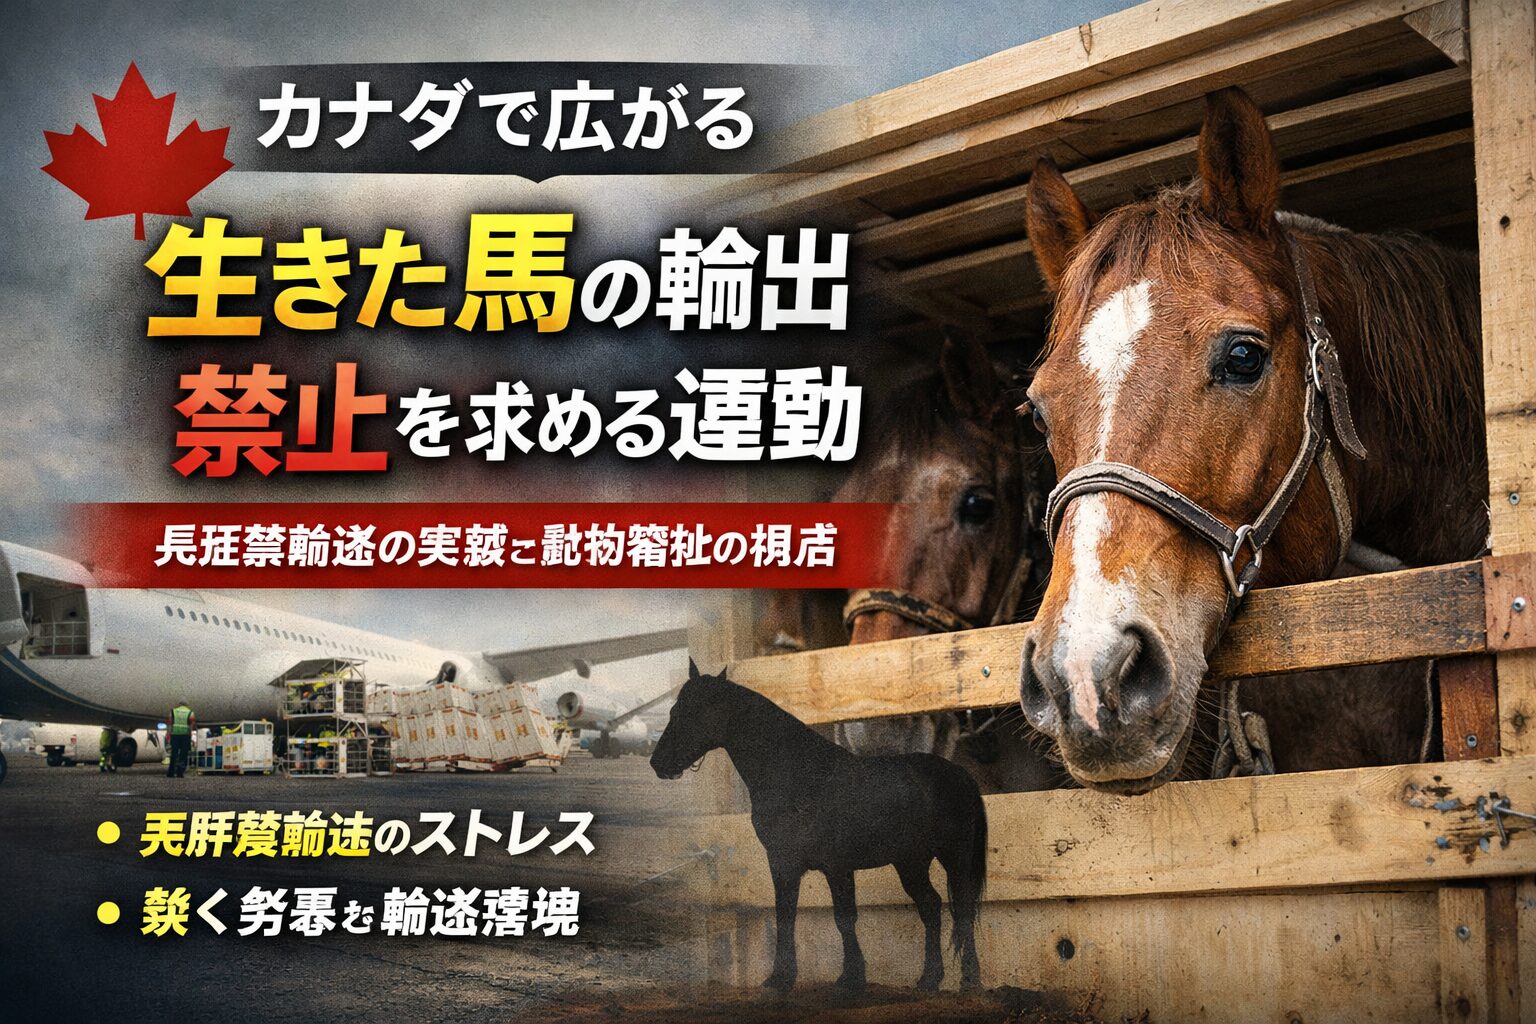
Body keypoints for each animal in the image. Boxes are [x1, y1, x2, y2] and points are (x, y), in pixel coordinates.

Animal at [651, 659, 987, 993]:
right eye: (674, 710)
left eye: (688, 712)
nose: (658, 763)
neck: (802, 777)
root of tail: (961, 775)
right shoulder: (783, 862)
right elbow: (785, 915)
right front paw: (780, 979)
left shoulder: (836, 866)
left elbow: (844, 918)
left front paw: (850, 978)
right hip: (911, 863)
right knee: (931, 906)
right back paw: (929, 980)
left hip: (954, 859)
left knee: (963, 911)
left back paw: (970, 982)